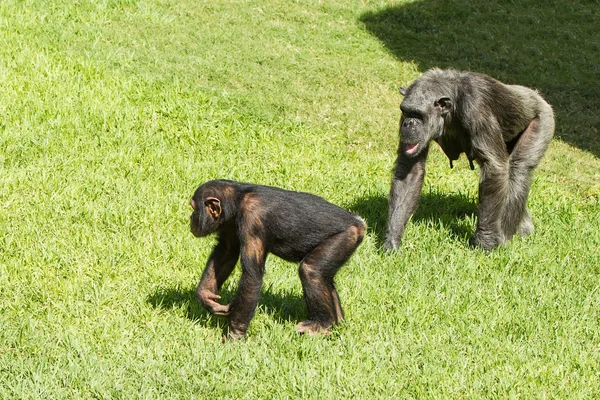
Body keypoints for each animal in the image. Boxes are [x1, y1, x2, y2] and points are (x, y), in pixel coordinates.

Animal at [189, 180, 366, 340]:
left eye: (194, 208)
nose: (191, 218)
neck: (238, 200)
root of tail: (359, 222)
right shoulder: (229, 223)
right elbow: (227, 250)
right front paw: (206, 295)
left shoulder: (252, 221)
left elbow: (252, 276)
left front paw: (235, 336)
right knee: (325, 278)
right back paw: (336, 325)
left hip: (345, 237)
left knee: (311, 270)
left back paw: (322, 324)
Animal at [386, 68, 556, 250]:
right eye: (406, 111)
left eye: (418, 114)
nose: (409, 123)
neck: (451, 108)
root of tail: (536, 94)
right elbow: (410, 170)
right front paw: (393, 240)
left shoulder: (477, 109)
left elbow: (494, 167)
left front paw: (485, 241)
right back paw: (524, 227)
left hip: (543, 119)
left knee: (518, 169)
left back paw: (506, 235)